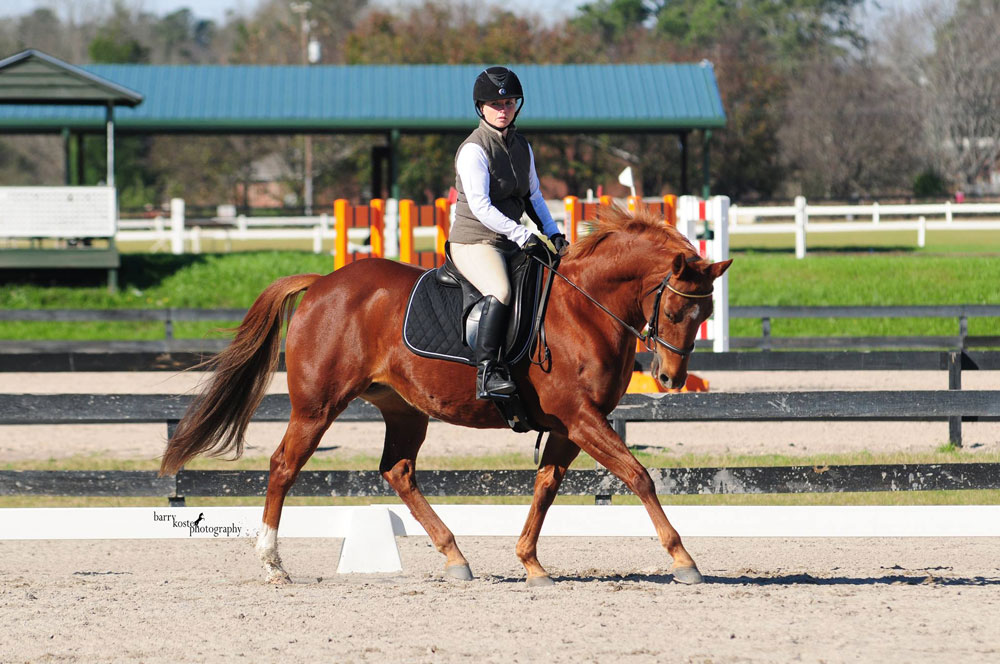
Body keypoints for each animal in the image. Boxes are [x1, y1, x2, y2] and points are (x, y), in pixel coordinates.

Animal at [160, 208, 732, 588]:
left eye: (704, 315)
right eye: (675, 312)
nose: (670, 379)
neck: (585, 308)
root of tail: (323, 282)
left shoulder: (571, 425)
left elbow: (546, 487)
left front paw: (530, 562)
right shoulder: (580, 418)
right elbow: (638, 475)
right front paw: (684, 561)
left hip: (405, 410)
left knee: (398, 471)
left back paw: (455, 558)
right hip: (317, 407)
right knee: (283, 465)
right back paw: (273, 563)